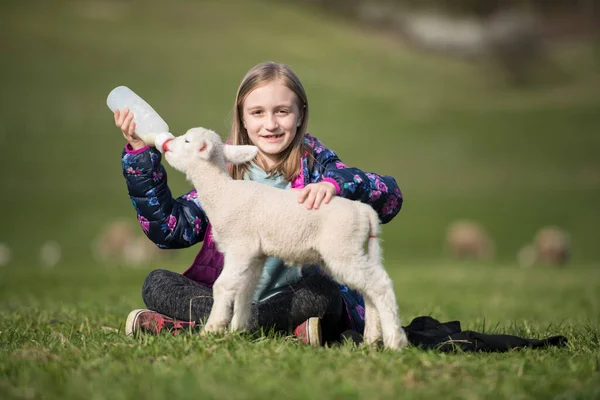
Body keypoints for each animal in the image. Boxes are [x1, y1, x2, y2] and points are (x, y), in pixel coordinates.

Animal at [158, 128, 408, 350]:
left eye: (187, 141)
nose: (167, 146)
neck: (221, 192)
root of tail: (364, 211)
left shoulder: (240, 246)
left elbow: (223, 286)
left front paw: (212, 330)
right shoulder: (255, 254)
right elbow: (245, 290)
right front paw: (238, 331)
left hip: (342, 248)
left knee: (380, 285)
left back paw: (395, 341)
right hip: (349, 251)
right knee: (369, 290)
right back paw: (371, 339)